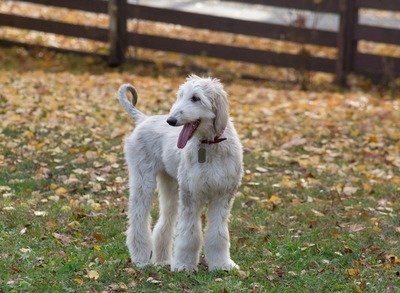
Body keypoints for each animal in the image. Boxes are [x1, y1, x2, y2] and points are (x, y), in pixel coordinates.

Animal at [118, 74, 244, 270]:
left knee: (164, 223)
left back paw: (162, 260)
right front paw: (184, 265)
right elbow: (189, 234)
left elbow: (218, 233)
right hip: (143, 180)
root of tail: (144, 119)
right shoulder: (191, 195)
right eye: (181, 96)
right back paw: (141, 257)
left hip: (170, 185)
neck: (210, 144)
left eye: (196, 98)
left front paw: (222, 264)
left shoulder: (223, 195)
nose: (171, 121)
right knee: (138, 218)